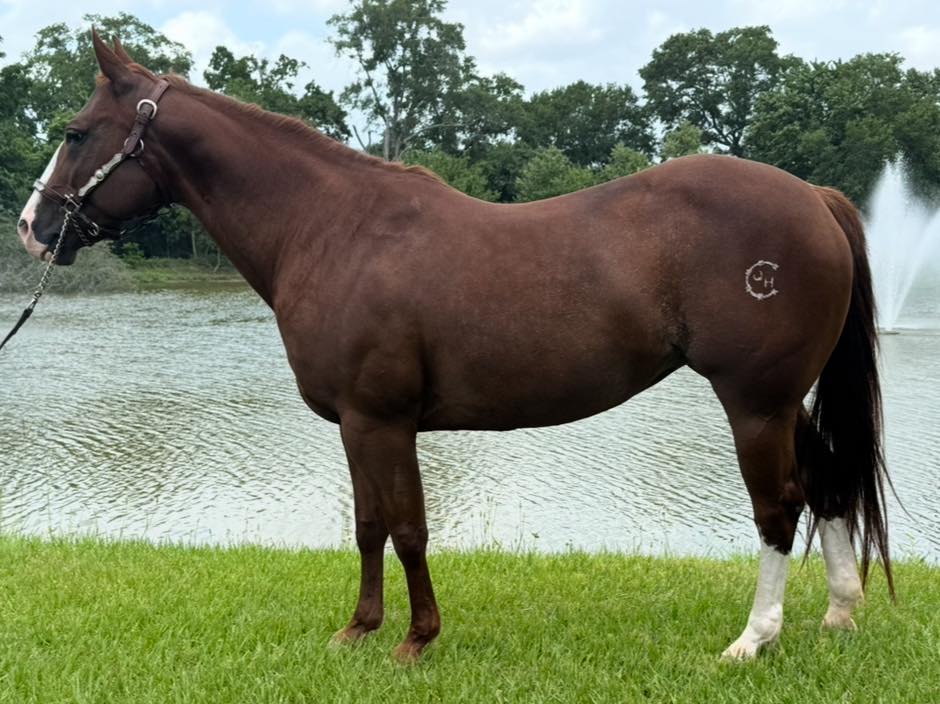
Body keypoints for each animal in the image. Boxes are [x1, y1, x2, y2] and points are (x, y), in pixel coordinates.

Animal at [16, 31, 893, 662]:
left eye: (77, 132)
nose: (31, 226)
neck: (332, 228)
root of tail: (812, 197)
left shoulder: (381, 419)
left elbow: (407, 528)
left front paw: (415, 639)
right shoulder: (356, 425)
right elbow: (369, 524)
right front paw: (359, 630)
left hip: (754, 402)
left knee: (779, 506)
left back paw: (754, 639)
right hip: (785, 400)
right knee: (827, 484)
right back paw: (839, 615)